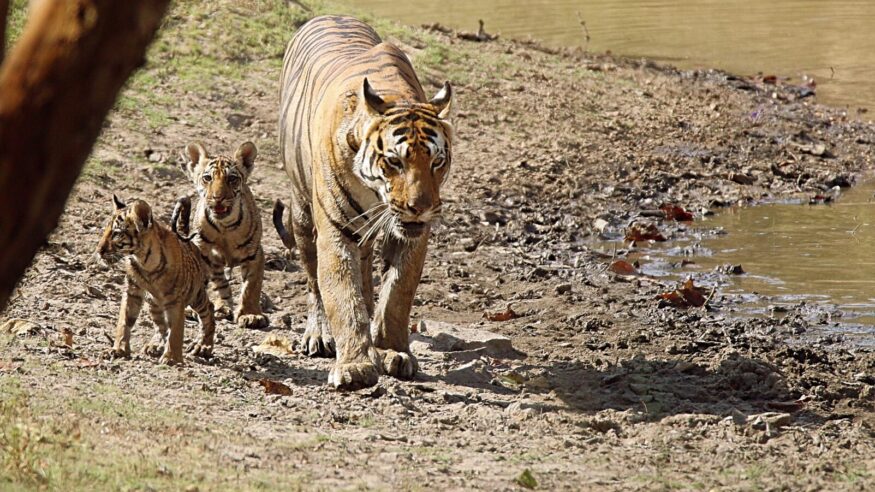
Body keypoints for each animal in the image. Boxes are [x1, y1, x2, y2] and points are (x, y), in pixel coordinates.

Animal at [95, 195, 215, 364]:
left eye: (116, 233)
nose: (98, 251)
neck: (144, 261)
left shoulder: (175, 300)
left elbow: (176, 330)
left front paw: (172, 358)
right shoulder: (132, 291)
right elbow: (124, 321)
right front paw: (118, 350)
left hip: (196, 295)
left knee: (209, 310)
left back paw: (203, 347)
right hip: (153, 303)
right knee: (161, 326)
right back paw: (154, 346)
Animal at [181, 141, 269, 329]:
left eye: (232, 179)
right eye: (207, 178)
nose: (218, 197)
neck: (224, 227)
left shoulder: (255, 254)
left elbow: (251, 286)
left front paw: (251, 315)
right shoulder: (202, 251)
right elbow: (206, 282)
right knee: (219, 282)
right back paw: (218, 307)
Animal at [278, 15, 454, 389]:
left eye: (437, 162)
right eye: (394, 161)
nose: (421, 207)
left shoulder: (412, 238)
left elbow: (397, 293)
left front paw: (392, 351)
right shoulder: (334, 233)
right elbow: (343, 296)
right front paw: (356, 365)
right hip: (301, 213)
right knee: (313, 281)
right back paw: (318, 335)